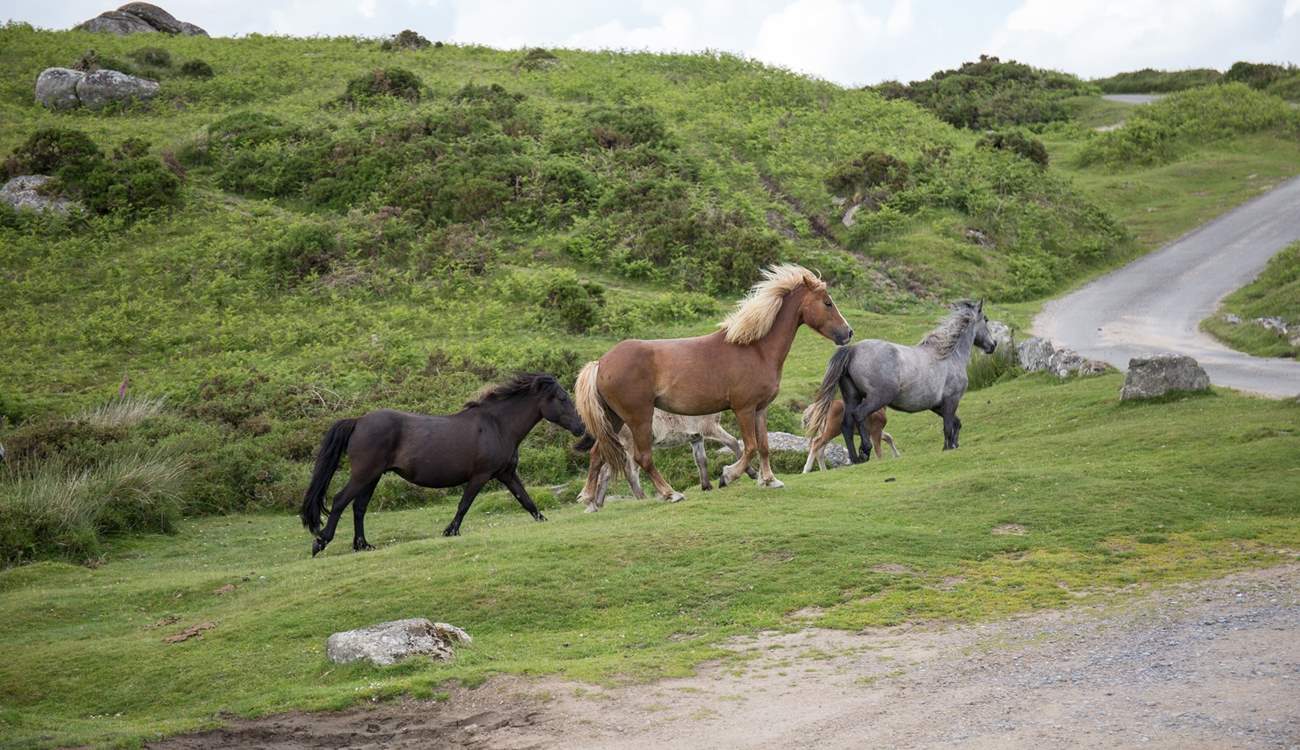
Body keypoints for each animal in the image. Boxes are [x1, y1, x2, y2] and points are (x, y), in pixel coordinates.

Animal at [299, 373, 586, 555]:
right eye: (562, 398)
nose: (582, 427)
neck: (498, 425)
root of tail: (358, 421)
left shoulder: (506, 473)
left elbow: (526, 501)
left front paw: (543, 520)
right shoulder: (481, 475)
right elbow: (464, 504)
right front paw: (450, 531)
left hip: (373, 476)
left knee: (359, 507)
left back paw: (363, 545)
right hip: (364, 474)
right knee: (340, 501)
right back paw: (321, 542)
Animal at [577, 410, 757, 512]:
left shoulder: (696, 437)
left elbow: (701, 460)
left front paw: (706, 486)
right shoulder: (710, 428)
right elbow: (734, 443)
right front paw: (750, 473)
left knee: (605, 471)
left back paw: (597, 502)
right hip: (630, 446)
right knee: (630, 472)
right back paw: (645, 498)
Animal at [804, 300, 995, 462]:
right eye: (986, 319)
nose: (993, 345)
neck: (949, 356)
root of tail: (853, 349)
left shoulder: (937, 405)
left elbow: (956, 423)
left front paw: (953, 445)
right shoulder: (951, 400)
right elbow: (948, 426)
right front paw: (948, 448)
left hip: (852, 397)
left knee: (847, 425)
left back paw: (856, 459)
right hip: (877, 397)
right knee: (859, 415)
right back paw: (865, 450)